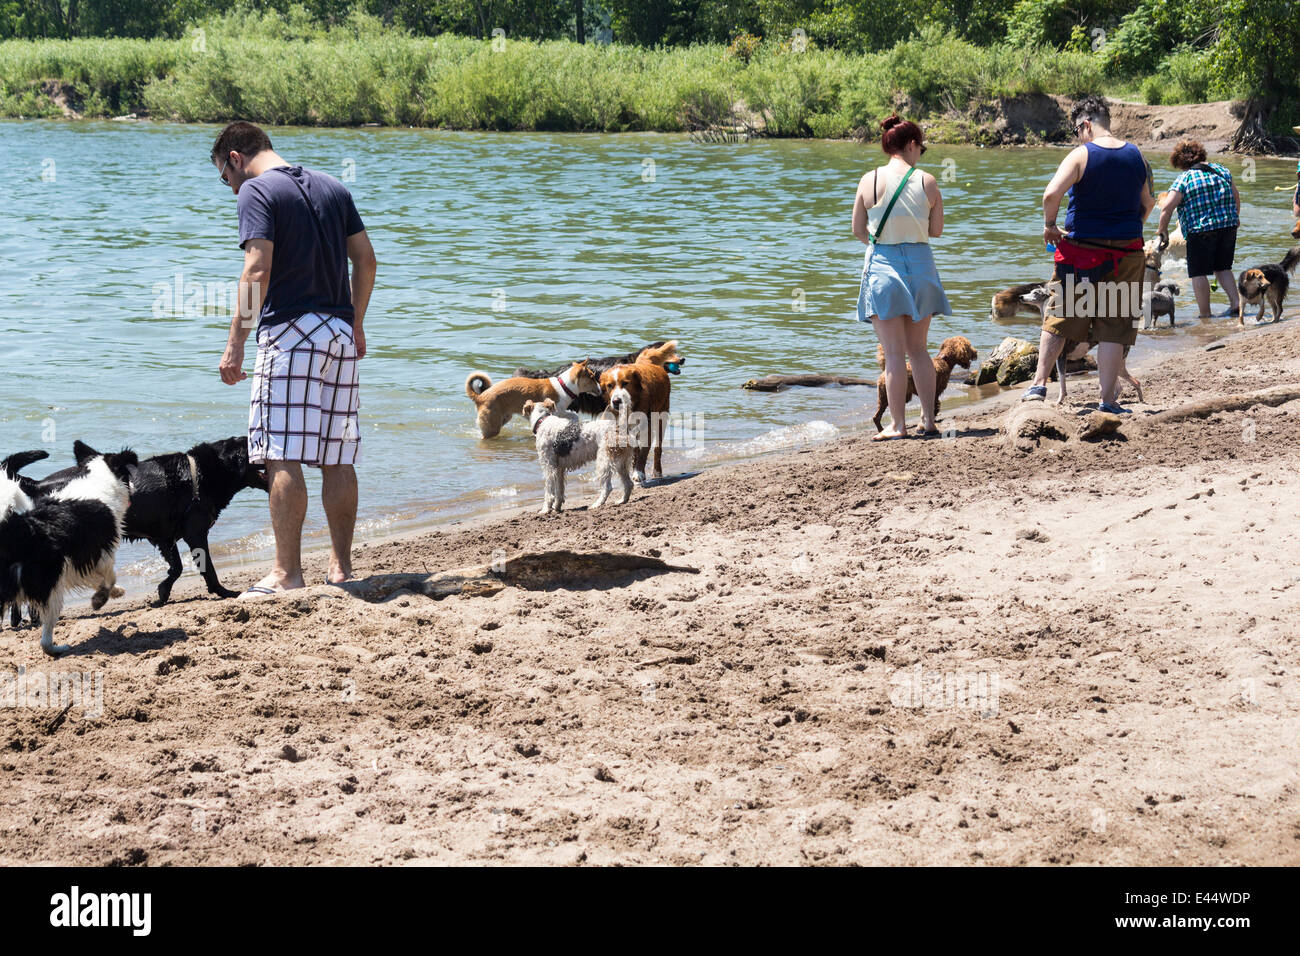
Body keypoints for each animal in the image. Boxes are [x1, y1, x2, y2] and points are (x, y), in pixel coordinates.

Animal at [3, 434, 269, 606]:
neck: (201, 472)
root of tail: (36, 485)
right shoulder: (195, 534)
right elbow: (208, 569)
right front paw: (225, 592)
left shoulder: (164, 538)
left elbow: (177, 567)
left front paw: (163, 591)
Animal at [465, 361, 600, 439]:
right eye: (592, 377)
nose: (601, 389)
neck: (564, 386)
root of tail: (480, 397)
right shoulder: (555, 411)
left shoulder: (561, 411)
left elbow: (573, 415)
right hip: (492, 426)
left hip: (503, 419)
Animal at [598, 343, 681, 481]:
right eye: (610, 385)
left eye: (625, 383)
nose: (616, 401)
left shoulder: (647, 427)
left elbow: (644, 452)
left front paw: (639, 473)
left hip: (661, 417)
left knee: (658, 448)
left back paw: (657, 472)